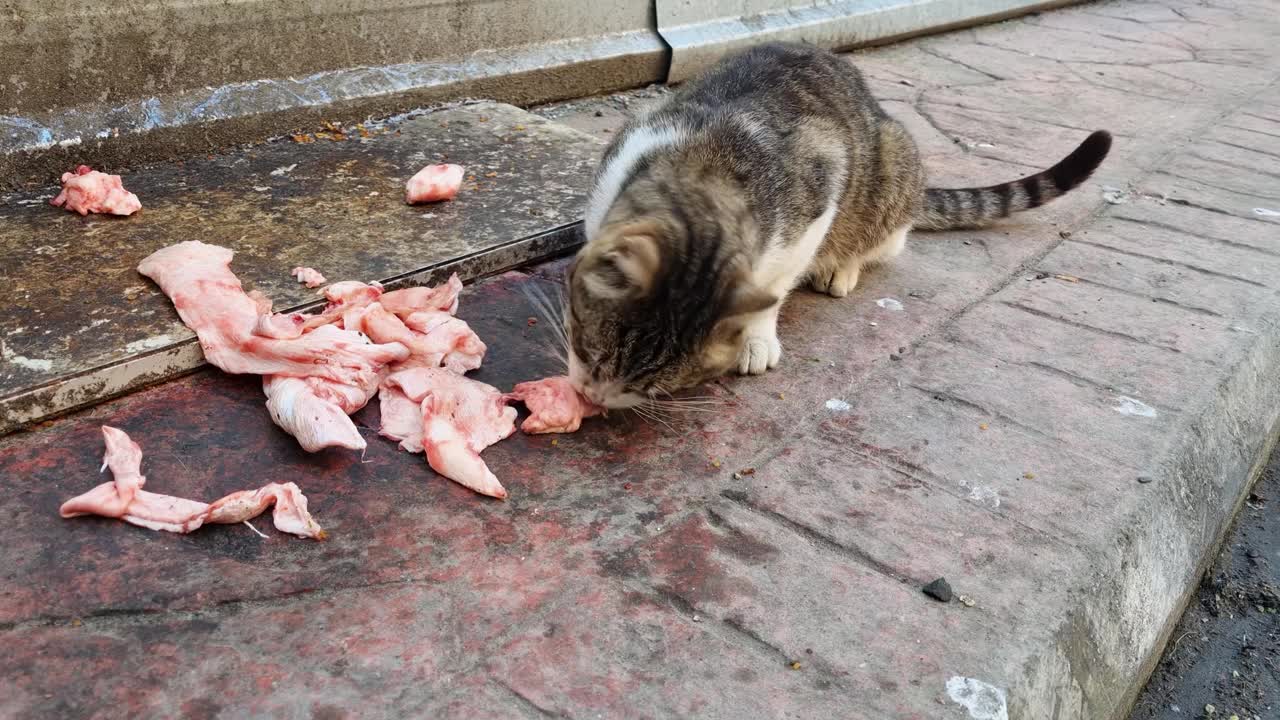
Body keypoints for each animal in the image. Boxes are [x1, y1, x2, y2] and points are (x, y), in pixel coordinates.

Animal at [560, 41, 1111, 407]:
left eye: (647, 386)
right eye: (587, 351)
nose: (592, 398)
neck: (707, 167)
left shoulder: (817, 199)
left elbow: (774, 288)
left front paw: (757, 338)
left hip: (892, 169)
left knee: (888, 240)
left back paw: (842, 268)